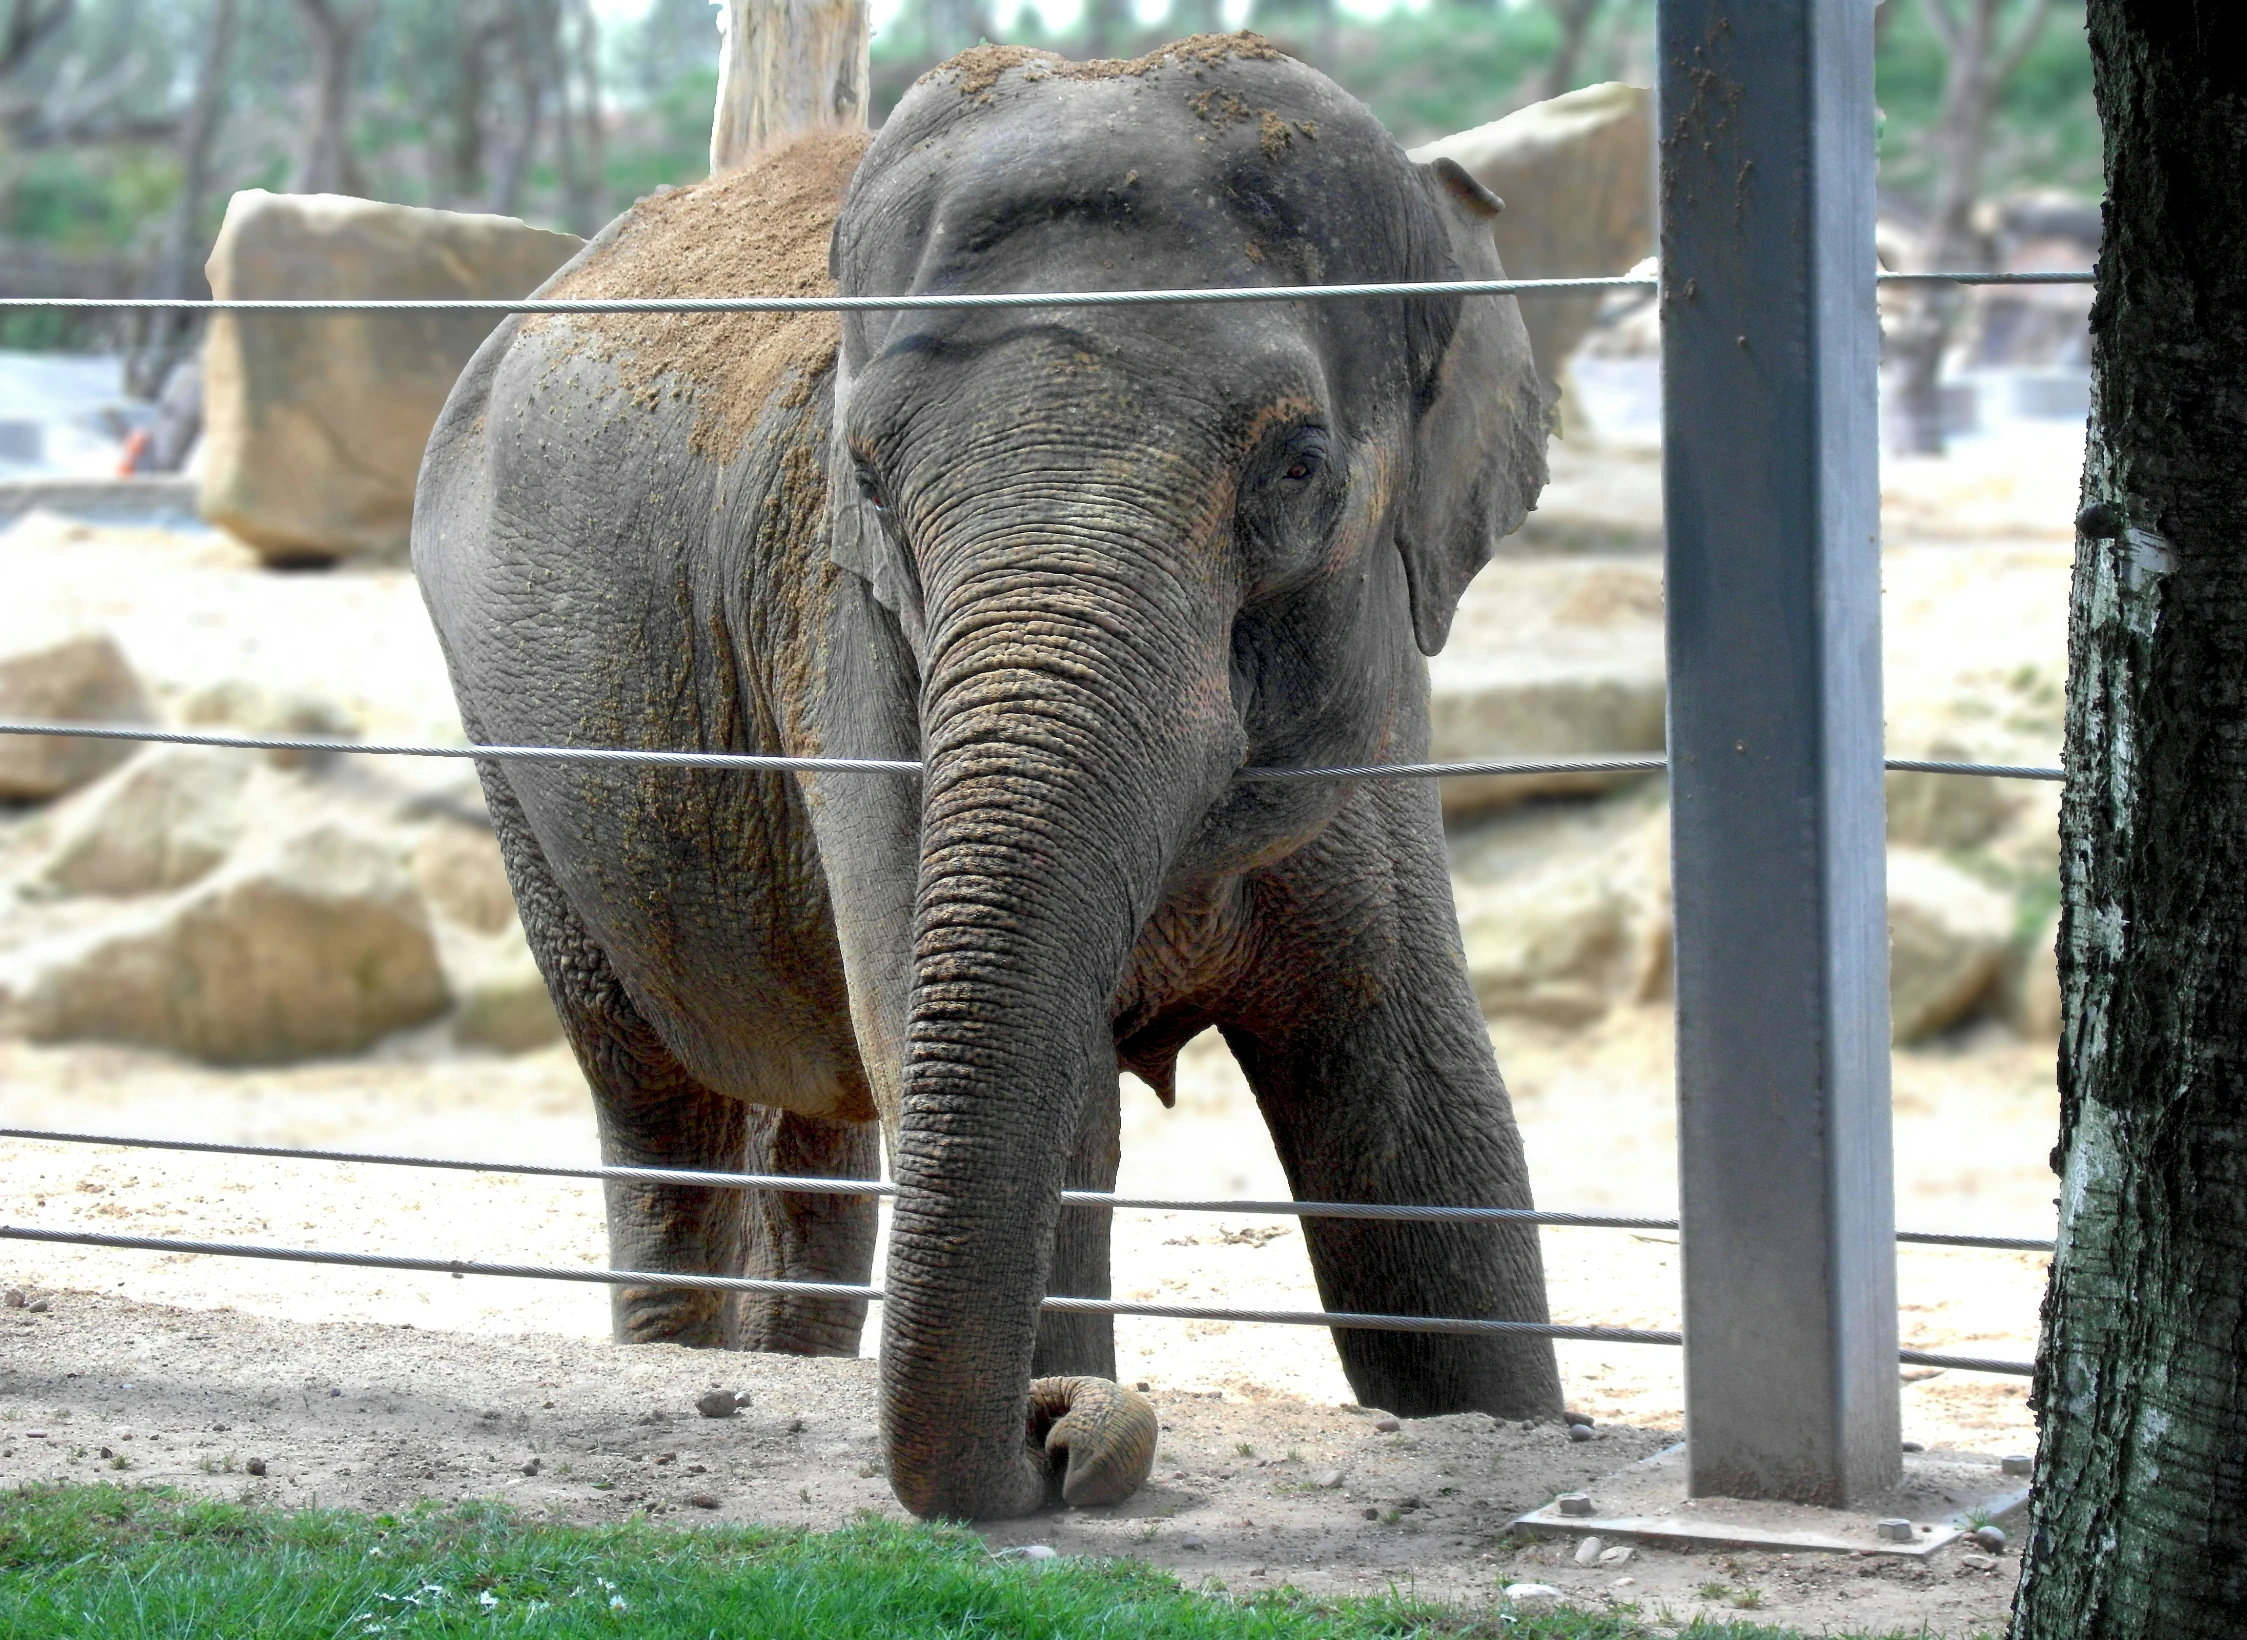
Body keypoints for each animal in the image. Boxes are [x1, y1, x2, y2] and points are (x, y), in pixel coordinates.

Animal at [408, 32, 1563, 1518]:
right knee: (660, 1096)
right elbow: (1055, 1118)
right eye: (864, 472)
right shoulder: (853, 653)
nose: (1059, 1427)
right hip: (517, 748)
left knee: (821, 1110)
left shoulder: (1378, 725)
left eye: (1298, 462)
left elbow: (1423, 1128)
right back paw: (682, 1353)